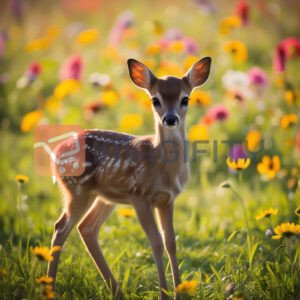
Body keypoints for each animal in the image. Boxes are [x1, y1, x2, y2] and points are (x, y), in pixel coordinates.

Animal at [47, 55, 211, 298]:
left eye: (185, 98)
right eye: (155, 99)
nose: (170, 119)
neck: (161, 167)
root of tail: (55, 153)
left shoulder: (167, 199)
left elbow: (171, 242)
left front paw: (179, 293)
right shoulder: (139, 196)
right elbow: (156, 242)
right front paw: (164, 294)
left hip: (104, 197)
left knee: (86, 228)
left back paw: (117, 291)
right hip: (77, 190)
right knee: (61, 227)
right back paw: (49, 288)